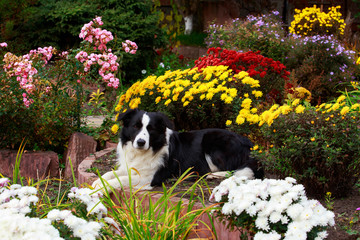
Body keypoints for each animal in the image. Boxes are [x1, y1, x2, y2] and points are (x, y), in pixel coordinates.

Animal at [91, 108, 262, 189]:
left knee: (232, 168)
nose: (140, 142)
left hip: (212, 141)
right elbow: (109, 174)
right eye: (135, 126)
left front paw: (100, 187)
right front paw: (96, 183)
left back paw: (213, 175)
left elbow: (120, 179)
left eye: (151, 129)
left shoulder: (150, 177)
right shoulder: (130, 167)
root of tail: (248, 143)